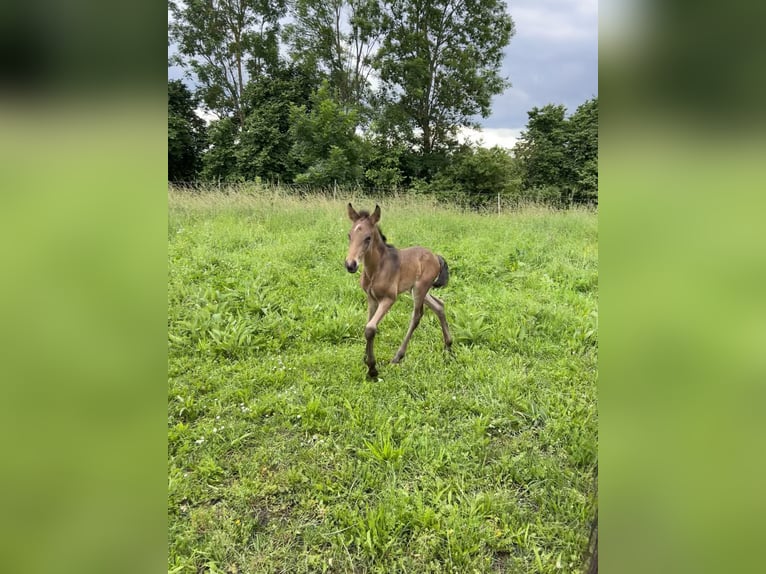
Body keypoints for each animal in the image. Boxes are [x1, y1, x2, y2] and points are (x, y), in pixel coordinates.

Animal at [344, 205, 452, 380]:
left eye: (368, 238)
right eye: (349, 235)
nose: (350, 265)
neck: (376, 269)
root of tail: (435, 256)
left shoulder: (389, 298)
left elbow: (370, 328)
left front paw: (372, 369)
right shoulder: (371, 298)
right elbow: (368, 324)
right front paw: (366, 359)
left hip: (420, 288)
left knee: (417, 316)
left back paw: (397, 357)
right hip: (416, 289)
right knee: (439, 305)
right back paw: (448, 346)